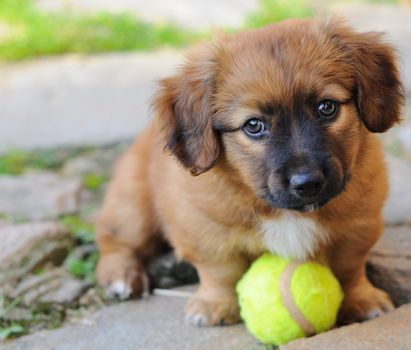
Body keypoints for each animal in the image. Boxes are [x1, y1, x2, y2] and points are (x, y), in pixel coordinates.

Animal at [96, 18, 406, 326]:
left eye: (326, 107)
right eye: (253, 125)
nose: (307, 184)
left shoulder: (359, 225)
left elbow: (349, 268)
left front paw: (361, 299)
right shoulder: (203, 229)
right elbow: (220, 270)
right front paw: (214, 305)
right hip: (133, 206)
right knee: (113, 239)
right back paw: (121, 277)